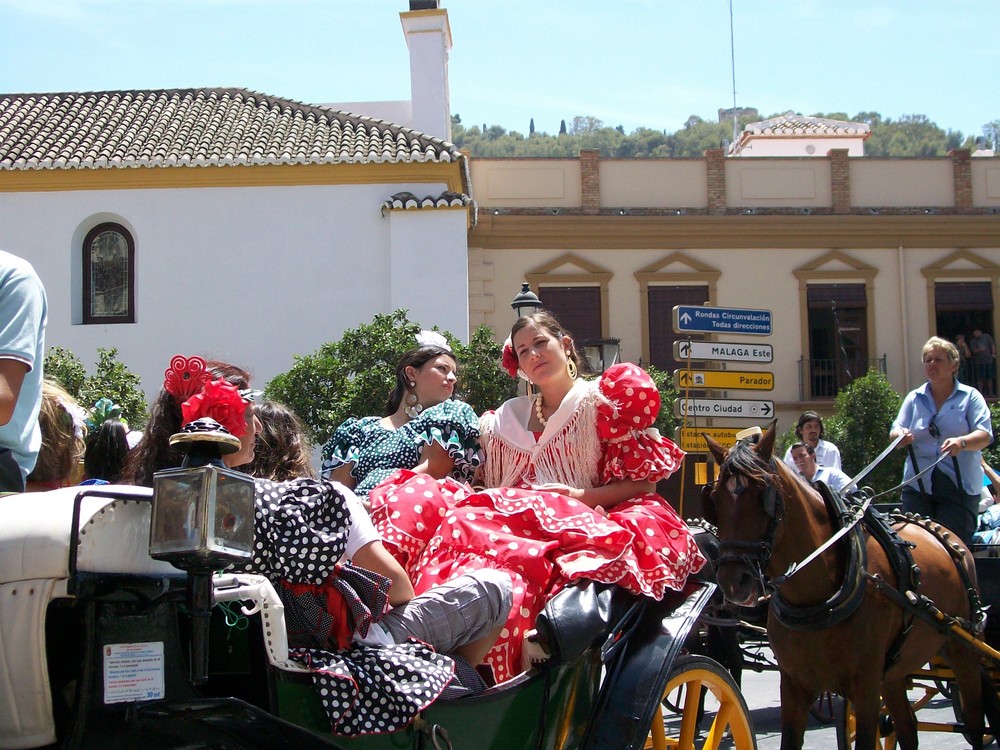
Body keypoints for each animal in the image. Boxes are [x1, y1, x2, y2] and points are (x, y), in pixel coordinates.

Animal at [708, 426, 988, 748]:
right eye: (714, 498)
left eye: (762, 493)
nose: (733, 581)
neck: (817, 598)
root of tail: (940, 531)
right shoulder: (793, 685)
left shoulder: (865, 686)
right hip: (894, 671)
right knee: (907, 727)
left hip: (961, 651)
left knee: (974, 722)